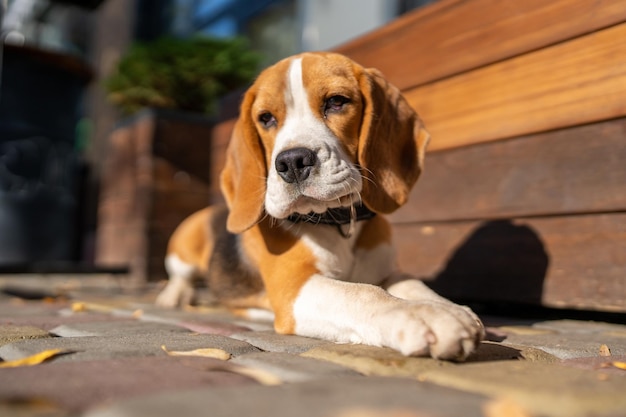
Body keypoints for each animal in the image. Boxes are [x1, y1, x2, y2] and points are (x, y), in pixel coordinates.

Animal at [155, 51, 482, 358]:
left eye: (336, 102)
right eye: (266, 118)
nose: (292, 162)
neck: (339, 223)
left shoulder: (386, 271)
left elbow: (411, 283)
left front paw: (447, 307)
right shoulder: (295, 287)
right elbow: (364, 293)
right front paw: (425, 315)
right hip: (183, 246)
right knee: (180, 277)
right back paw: (173, 296)